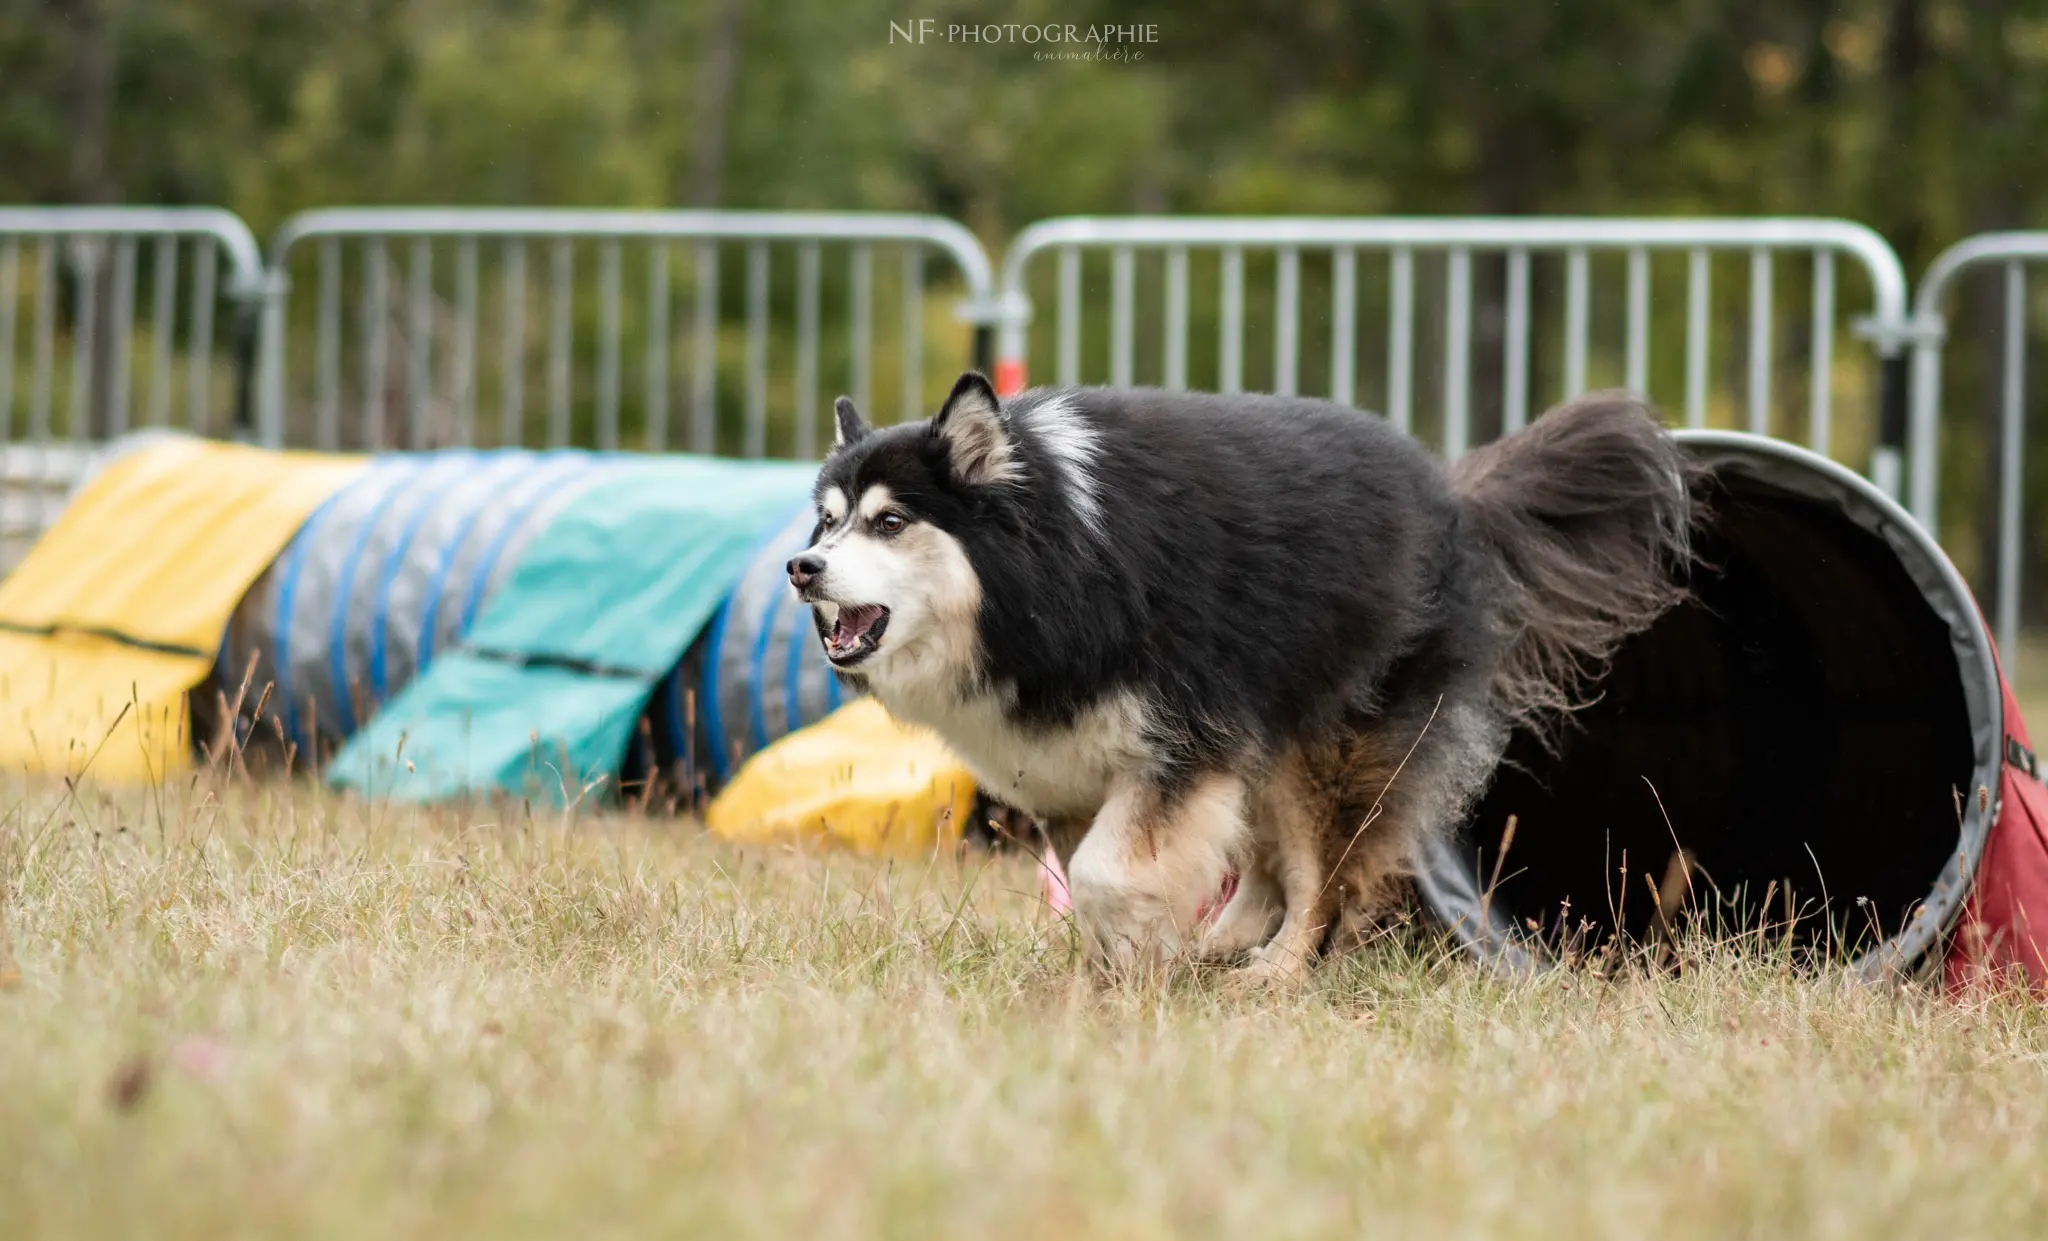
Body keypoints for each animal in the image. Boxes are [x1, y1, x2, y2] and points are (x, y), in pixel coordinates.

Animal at [790, 372, 1687, 982]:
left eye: (890, 521)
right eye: (826, 524)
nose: (801, 568)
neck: (1057, 567)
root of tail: (1453, 498)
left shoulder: (1186, 737)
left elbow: (1106, 872)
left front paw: (1137, 962)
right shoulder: (1066, 768)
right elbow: (1092, 877)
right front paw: (1119, 970)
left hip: (1313, 734)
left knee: (1319, 877)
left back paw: (1275, 972)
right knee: (1265, 871)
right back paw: (1218, 944)